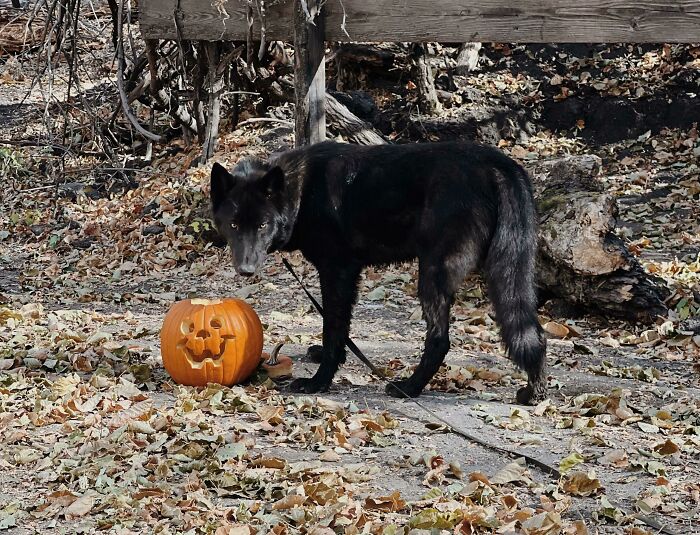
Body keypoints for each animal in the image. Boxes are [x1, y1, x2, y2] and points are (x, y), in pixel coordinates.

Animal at [210, 141, 547, 404]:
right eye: (235, 225)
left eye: (262, 225)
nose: (246, 269)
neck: (301, 193)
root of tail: (499, 164)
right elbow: (339, 329)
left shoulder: (337, 272)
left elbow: (333, 328)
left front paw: (319, 381)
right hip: (509, 274)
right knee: (534, 335)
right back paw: (533, 393)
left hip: (433, 275)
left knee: (440, 340)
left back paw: (409, 387)